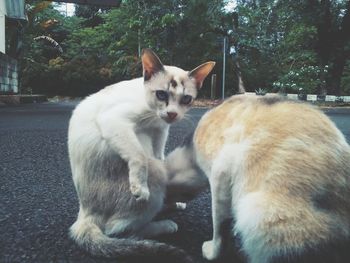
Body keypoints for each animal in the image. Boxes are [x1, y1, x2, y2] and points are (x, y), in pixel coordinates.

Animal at [66, 49, 213, 262]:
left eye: (186, 99)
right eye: (161, 94)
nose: (172, 114)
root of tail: (84, 213)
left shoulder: (160, 131)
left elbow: (159, 152)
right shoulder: (115, 121)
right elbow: (139, 157)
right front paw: (140, 188)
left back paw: (173, 204)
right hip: (155, 173)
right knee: (118, 231)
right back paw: (165, 224)